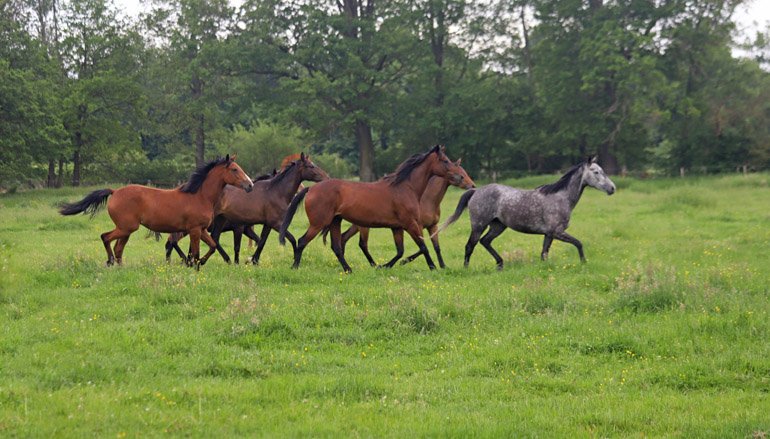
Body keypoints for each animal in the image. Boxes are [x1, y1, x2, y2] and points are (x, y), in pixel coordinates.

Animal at [59, 155, 253, 267]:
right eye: (234, 169)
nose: (250, 185)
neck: (199, 196)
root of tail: (114, 192)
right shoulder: (195, 230)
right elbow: (196, 251)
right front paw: (195, 265)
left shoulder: (202, 229)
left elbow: (212, 246)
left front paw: (201, 263)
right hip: (126, 228)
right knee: (106, 238)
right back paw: (110, 261)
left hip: (126, 230)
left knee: (118, 247)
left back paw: (120, 267)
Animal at [197, 153, 329, 265]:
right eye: (311, 166)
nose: (326, 177)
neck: (276, 192)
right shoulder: (274, 224)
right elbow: (291, 239)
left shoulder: (267, 224)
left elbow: (261, 241)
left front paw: (253, 260)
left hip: (220, 220)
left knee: (214, 238)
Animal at [335, 162, 466, 269]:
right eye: (460, 172)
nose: (470, 184)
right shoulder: (414, 225)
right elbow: (422, 246)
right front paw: (403, 262)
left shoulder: (430, 226)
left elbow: (433, 246)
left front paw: (443, 266)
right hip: (364, 226)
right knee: (362, 244)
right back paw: (373, 264)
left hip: (358, 224)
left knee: (344, 237)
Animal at [438, 156, 615, 270]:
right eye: (596, 172)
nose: (612, 188)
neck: (561, 198)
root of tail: (476, 191)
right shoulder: (557, 232)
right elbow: (578, 243)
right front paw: (584, 263)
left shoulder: (549, 234)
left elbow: (544, 253)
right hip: (479, 225)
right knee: (470, 245)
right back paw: (466, 268)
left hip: (498, 226)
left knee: (485, 241)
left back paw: (500, 264)